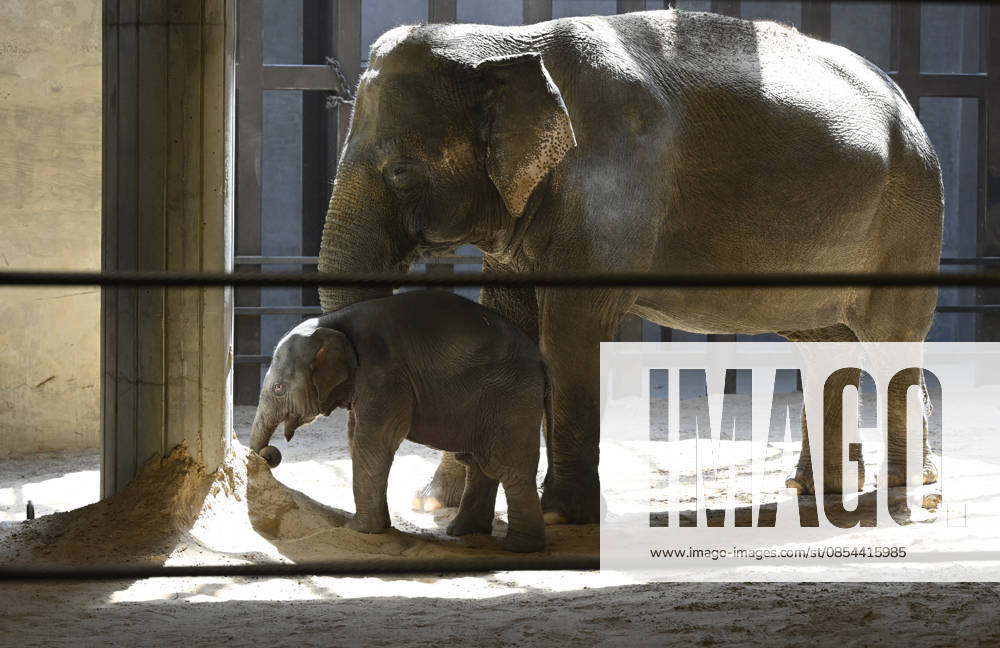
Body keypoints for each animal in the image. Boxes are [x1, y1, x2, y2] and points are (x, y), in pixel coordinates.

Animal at [249, 290, 551, 552]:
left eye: (278, 388)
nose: (268, 454)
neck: (333, 322)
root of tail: (541, 359)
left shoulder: (384, 377)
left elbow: (372, 443)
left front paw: (358, 529)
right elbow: (356, 439)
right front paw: (379, 528)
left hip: (512, 398)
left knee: (509, 468)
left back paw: (518, 547)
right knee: (480, 465)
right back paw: (463, 532)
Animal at [316, 9, 943, 524]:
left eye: (400, 171)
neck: (507, 43)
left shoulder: (609, 185)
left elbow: (571, 331)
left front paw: (560, 514)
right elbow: (506, 319)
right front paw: (437, 503)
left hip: (909, 215)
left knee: (891, 340)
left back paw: (902, 493)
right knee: (824, 346)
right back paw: (817, 491)